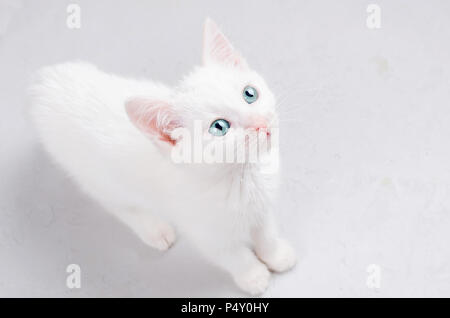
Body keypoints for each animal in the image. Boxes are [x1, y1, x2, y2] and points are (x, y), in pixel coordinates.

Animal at [29, 18, 296, 296]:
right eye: (219, 127)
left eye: (249, 94)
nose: (261, 123)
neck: (241, 175)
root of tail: (43, 84)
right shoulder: (206, 233)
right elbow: (234, 256)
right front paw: (253, 276)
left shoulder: (263, 208)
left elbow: (266, 234)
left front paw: (277, 256)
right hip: (93, 176)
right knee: (118, 205)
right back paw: (155, 230)